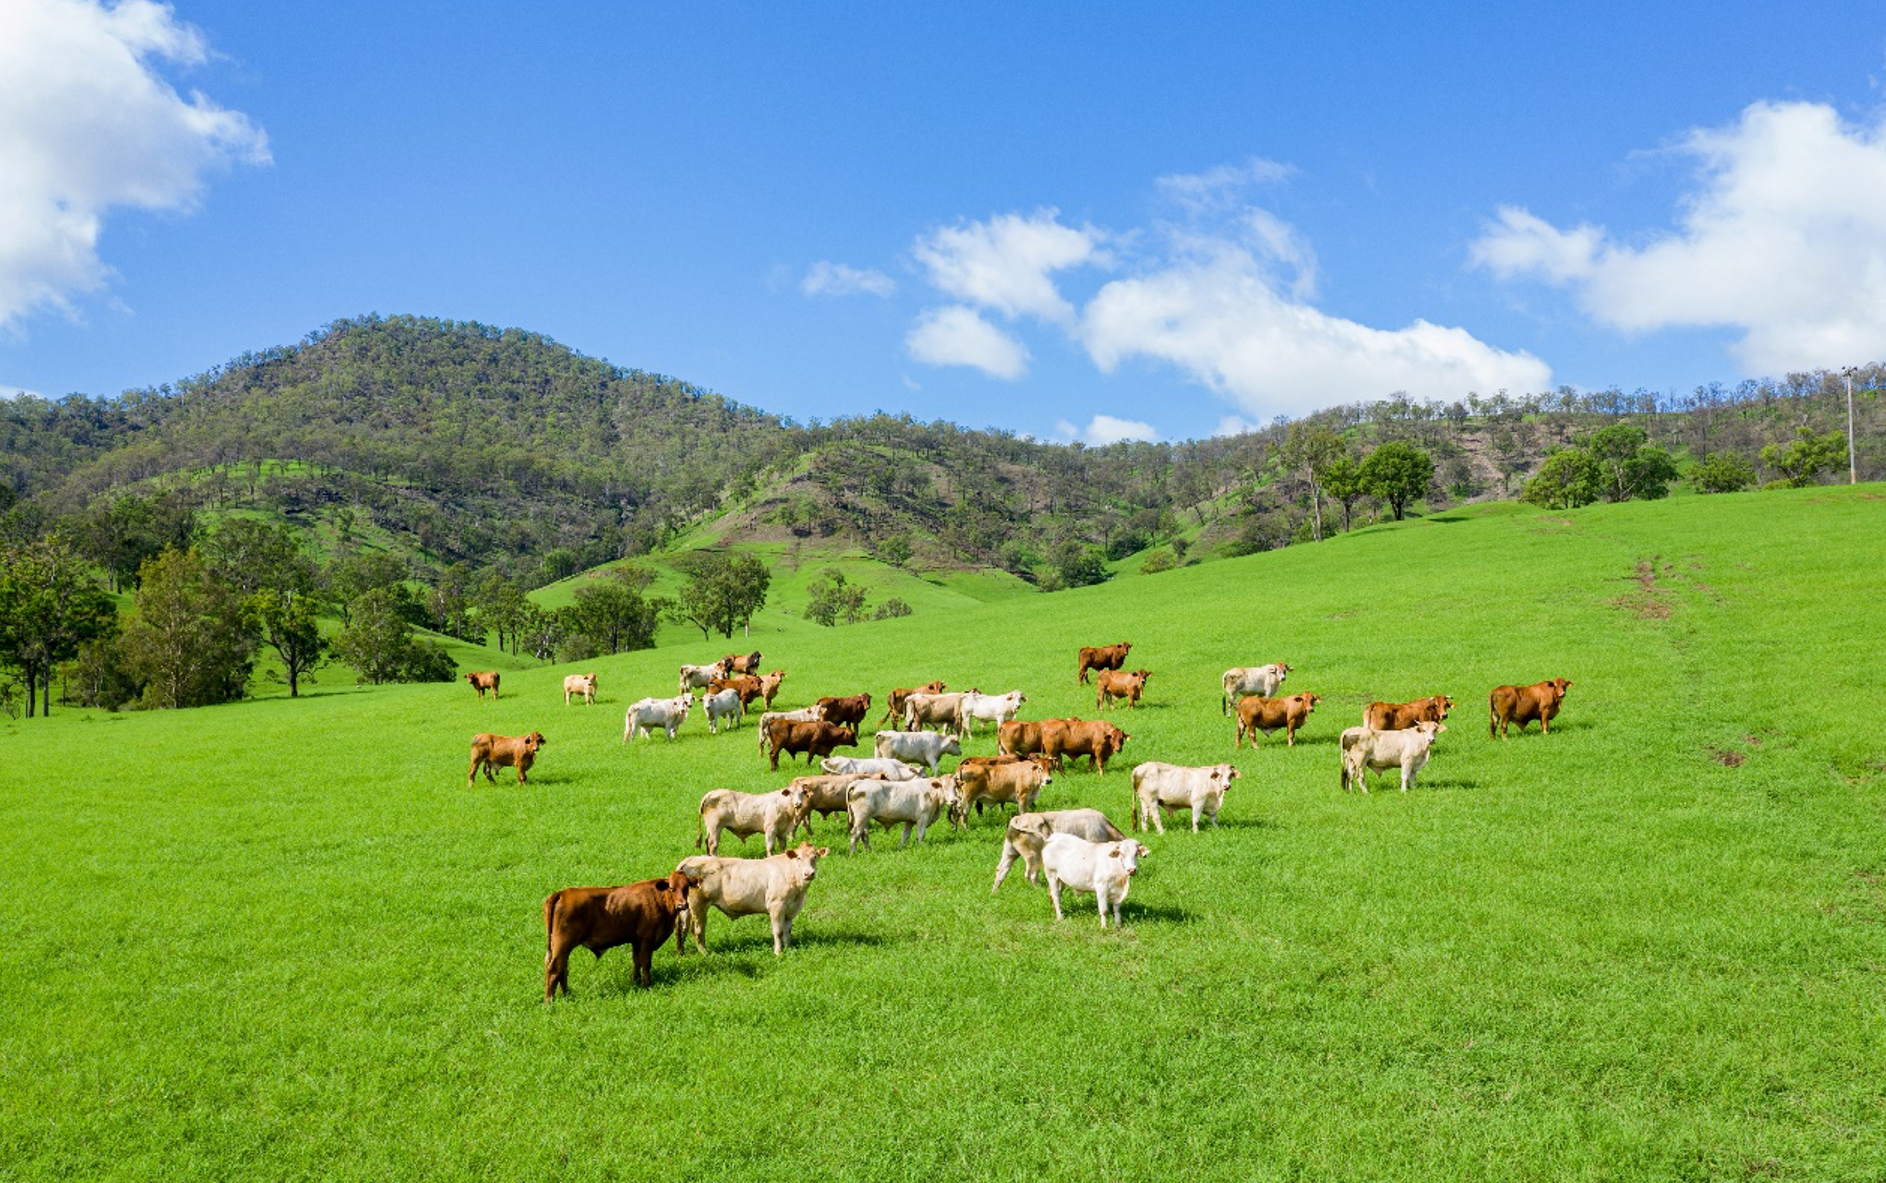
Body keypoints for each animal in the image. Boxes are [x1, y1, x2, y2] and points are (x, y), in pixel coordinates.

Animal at [543, 871, 705, 996]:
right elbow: (645, 962)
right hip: (563, 943)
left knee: (562, 968)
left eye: (686, 887)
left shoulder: (636, 940)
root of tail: (562, 893)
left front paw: (635, 981)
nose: (682, 905)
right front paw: (647, 985)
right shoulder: (647, 938)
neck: (660, 899)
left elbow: (636, 961)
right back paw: (550, 1000)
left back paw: (566, 995)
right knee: (555, 968)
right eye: (671, 888)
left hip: (559, 946)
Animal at [678, 845, 826, 958]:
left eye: (815, 857)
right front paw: (778, 952)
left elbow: (787, 930)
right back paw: (705, 953)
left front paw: (789, 948)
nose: (809, 873)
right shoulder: (776, 905)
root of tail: (693, 858)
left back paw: (681, 953)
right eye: (799, 858)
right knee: (697, 930)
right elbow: (778, 931)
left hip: (687, 907)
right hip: (698, 905)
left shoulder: (792, 909)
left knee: (682, 928)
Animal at [988, 811, 1116, 894]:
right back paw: (1040, 890)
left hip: (1010, 852)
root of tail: (1018, 818)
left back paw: (994, 892)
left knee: (1001, 869)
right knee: (1031, 874)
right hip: (1034, 855)